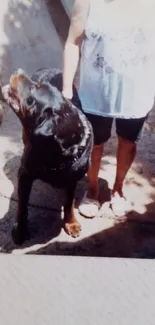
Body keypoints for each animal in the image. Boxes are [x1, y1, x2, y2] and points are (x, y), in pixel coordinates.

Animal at [1, 69, 92, 246]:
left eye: (33, 90)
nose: (19, 71)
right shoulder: (25, 174)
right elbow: (22, 205)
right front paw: (20, 230)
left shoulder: (72, 178)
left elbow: (69, 202)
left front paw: (71, 223)